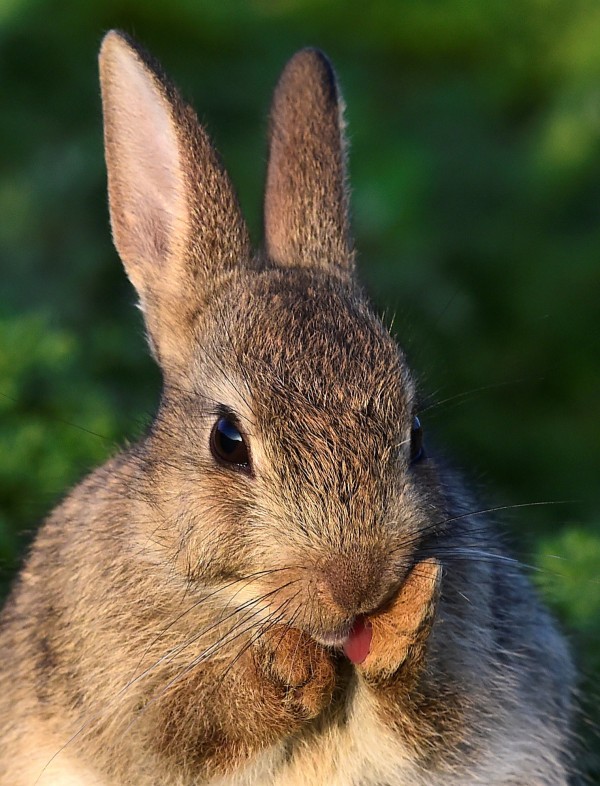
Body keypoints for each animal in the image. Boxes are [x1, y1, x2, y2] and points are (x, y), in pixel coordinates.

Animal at [0, 29, 576, 784]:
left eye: (416, 434)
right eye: (227, 440)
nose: (357, 584)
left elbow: (425, 709)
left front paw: (400, 630)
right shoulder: (127, 693)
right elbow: (189, 720)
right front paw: (289, 668)